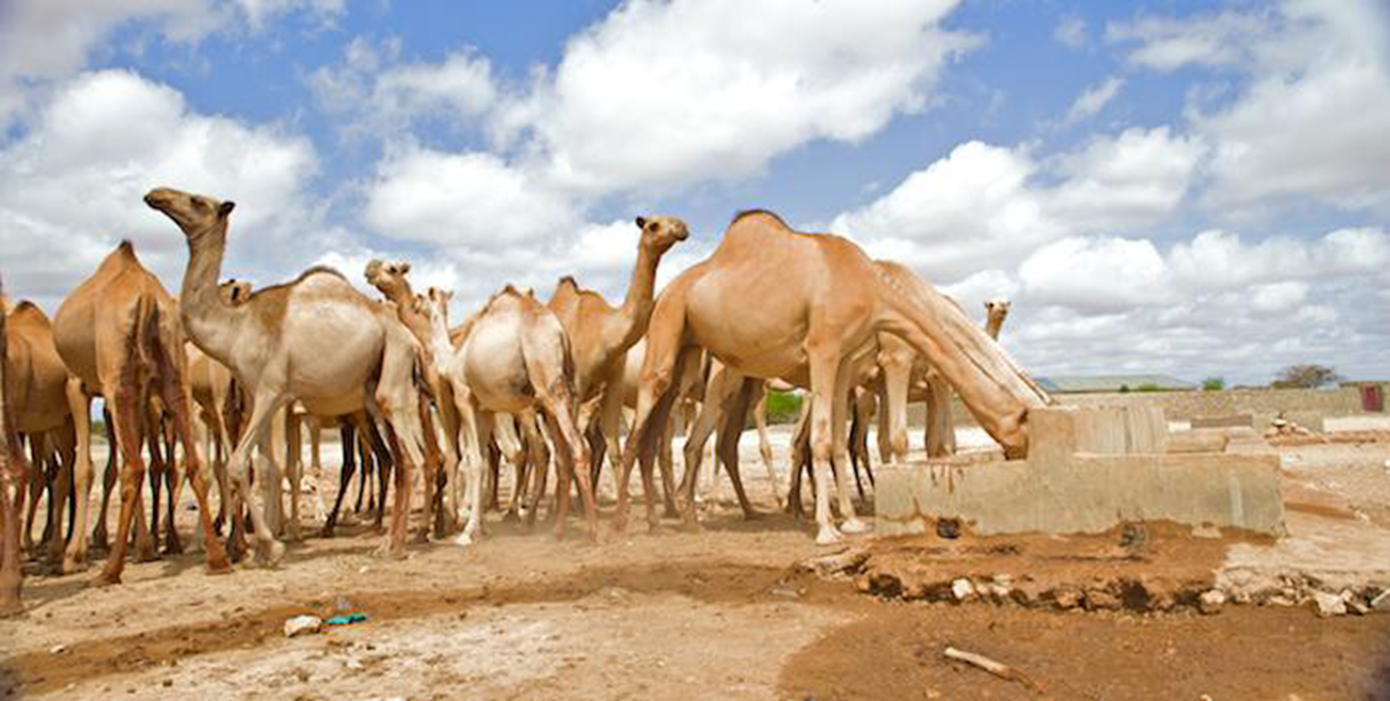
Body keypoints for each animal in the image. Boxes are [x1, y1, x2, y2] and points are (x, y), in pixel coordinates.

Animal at [53, 240, 227, 581]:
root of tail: (147, 296)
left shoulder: (78, 384)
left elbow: (87, 469)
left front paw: (74, 555)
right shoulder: (142, 395)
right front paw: (144, 544)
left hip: (117, 380)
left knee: (133, 467)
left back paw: (109, 570)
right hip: (172, 374)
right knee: (189, 463)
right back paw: (215, 558)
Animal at [144, 187, 428, 564]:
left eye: (196, 201)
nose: (155, 195)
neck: (236, 327)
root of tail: (411, 341)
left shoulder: (272, 391)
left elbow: (240, 464)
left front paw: (271, 545)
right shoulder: (258, 396)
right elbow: (264, 465)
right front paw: (262, 546)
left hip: (393, 375)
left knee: (413, 458)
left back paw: (396, 545)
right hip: (373, 394)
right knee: (399, 460)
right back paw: (387, 544)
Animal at [422, 285, 597, 542]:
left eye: (422, 299)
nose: (417, 305)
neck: (453, 358)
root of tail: (559, 332)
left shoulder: (464, 396)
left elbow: (474, 460)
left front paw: (467, 532)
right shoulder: (485, 409)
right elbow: (481, 458)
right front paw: (481, 527)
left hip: (548, 385)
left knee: (577, 447)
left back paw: (593, 531)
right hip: (558, 395)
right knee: (561, 456)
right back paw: (556, 530)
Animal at [614, 208, 1045, 542]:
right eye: (1024, 422)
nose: (1024, 457)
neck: (875, 287)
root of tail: (668, 290)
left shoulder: (845, 361)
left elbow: (839, 442)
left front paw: (852, 521)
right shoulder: (841, 351)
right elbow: (861, 440)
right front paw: (828, 529)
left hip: (694, 356)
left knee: (683, 438)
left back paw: (687, 518)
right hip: (672, 328)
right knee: (647, 426)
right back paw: (626, 522)